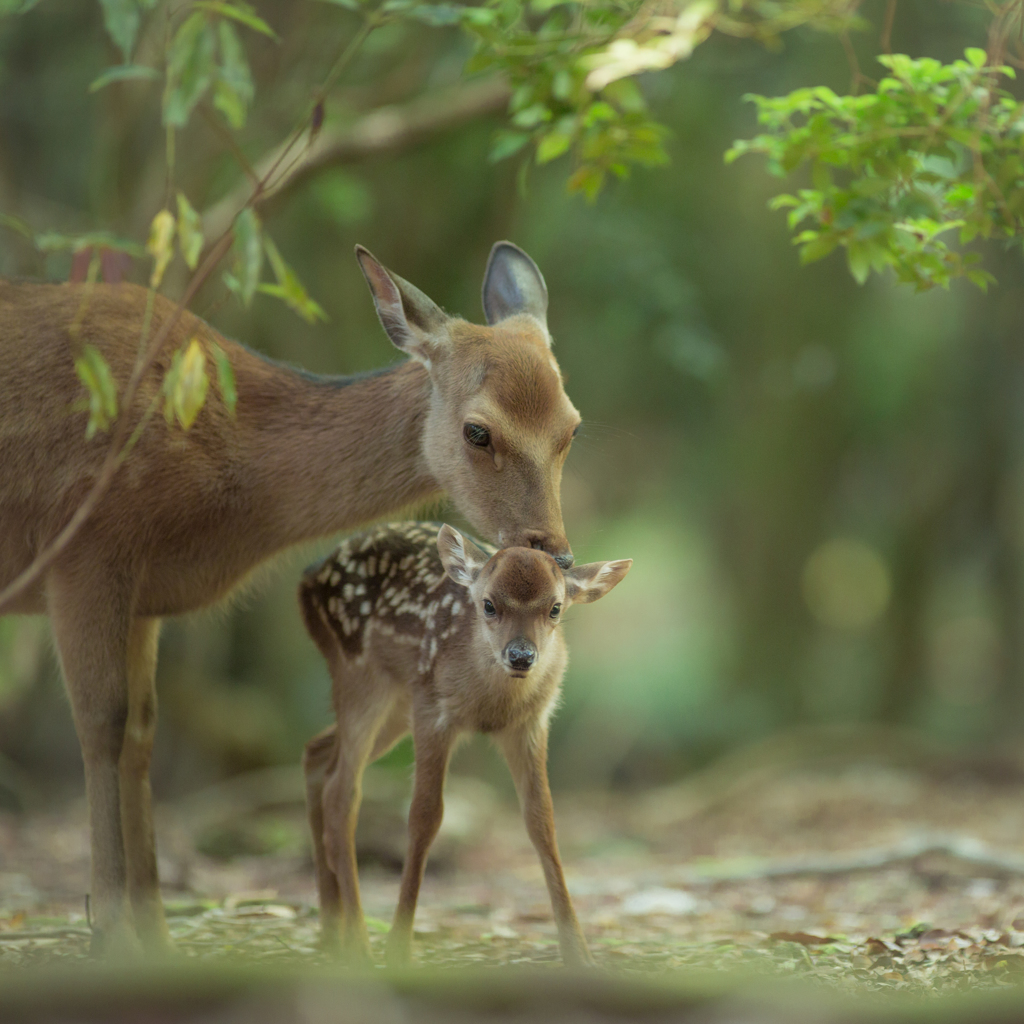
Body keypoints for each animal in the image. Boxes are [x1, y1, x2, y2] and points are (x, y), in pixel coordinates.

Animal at [0, 239, 581, 950]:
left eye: (571, 427)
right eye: (478, 431)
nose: (556, 555)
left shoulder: (143, 598)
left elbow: (141, 730)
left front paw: (155, 932)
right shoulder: (84, 551)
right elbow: (102, 724)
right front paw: (110, 931)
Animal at [299, 524, 626, 962]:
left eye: (555, 608)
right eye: (488, 605)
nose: (521, 656)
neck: (491, 707)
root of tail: (308, 578)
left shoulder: (531, 724)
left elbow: (541, 820)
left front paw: (580, 954)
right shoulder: (433, 711)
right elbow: (424, 817)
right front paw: (398, 949)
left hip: (394, 706)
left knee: (317, 754)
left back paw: (331, 932)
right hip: (362, 678)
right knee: (342, 791)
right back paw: (361, 945)